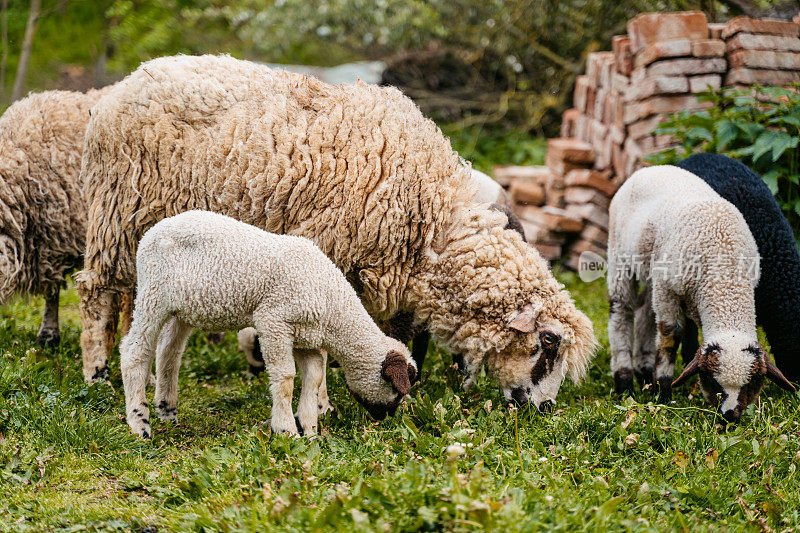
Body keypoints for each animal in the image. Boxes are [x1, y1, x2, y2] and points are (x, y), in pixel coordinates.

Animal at [78, 54, 596, 410]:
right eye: (548, 345)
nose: (543, 408)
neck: (432, 226)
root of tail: (121, 87)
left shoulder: (392, 278)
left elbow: (402, 334)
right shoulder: (334, 262)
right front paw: (323, 402)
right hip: (119, 214)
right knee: (94, 292)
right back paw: (96, 372)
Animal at [122, 210, 418, 438]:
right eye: (397, 390)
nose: (385, 419)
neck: (332, 304)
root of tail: (155, 229)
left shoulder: (305, 337)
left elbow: (314, 376)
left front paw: (309, 430)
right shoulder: (273, 321)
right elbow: (285, 378)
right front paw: (286, 429)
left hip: (182, 308)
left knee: (169, 351)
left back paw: (167, 409)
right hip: (152, 294)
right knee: (134, 351)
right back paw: (140, 424)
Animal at [608, 164, 792, 422]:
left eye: (750, 384)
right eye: (713, 381)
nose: (729, 416)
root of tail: (651, 168)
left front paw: (656, 385)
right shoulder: (668, 290)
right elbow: (670, 337)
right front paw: (663, 393)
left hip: (652, 270)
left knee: (645, 310)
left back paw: (643, 373)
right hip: (619, 255)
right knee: (621, 310)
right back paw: (624, 382)